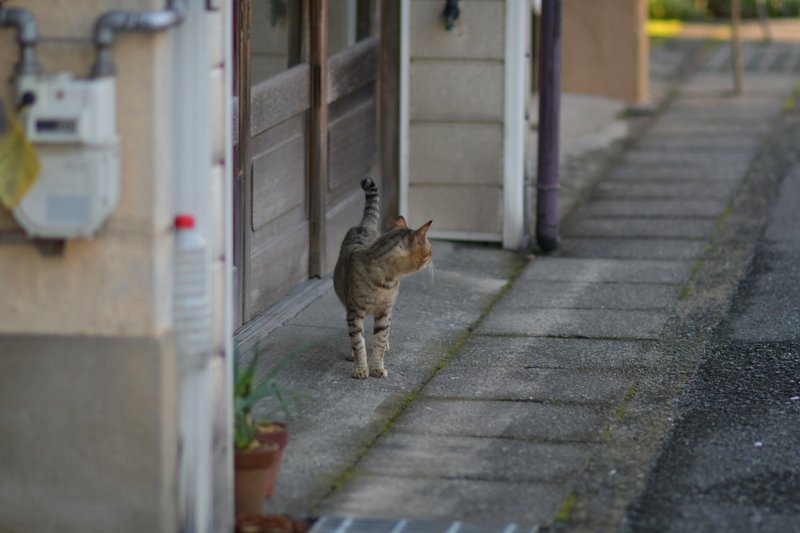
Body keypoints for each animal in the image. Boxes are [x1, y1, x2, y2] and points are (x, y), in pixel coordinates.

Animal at [332, 177, 432, 376]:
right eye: (430, 249)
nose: (433, 255)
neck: (387, 280)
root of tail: (364, 225)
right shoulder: (354, 310)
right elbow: (358, 342)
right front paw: (361, 368)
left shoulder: (385, 311)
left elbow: (379, 340)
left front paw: (378, 367)